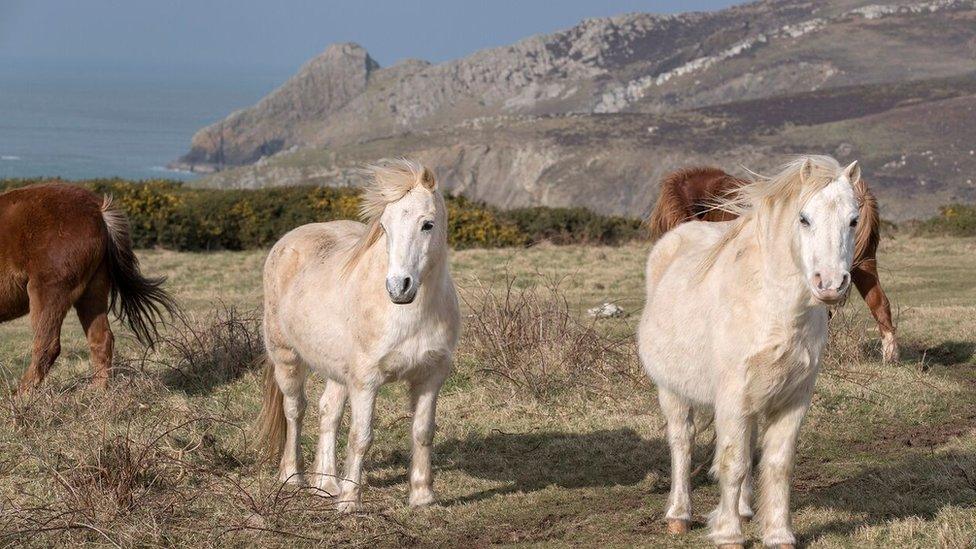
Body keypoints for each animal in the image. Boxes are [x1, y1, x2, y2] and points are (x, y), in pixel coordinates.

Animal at [0, 184, 178, 390]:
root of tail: (99, 211)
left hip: (48, 290)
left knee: (46, 345)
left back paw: (22, 395)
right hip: (93, 291)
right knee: (101, 339)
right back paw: (99, 391)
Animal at [255, 157, 462, 510]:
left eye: (427, 224)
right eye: (385, 228)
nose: (398, 287)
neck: (406, 314)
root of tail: (287, 242)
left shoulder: (431, 376)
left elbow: (422, 431)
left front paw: (422, 496)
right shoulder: (366, 381)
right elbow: (360, 436)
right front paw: (350, 500)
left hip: (338, 370)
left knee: (328, 412)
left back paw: (326, 483)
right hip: (287, 359)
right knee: (295, 411)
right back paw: (293, 477)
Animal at [640, 155, 860, 548]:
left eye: (853, 220)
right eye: (804, 218)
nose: (831, 284)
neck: (773, 310)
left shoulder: (793, 400)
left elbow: (777, 464)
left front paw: (778, 534)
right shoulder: (732, 398)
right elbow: (734, 462)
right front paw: (729, 534)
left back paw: (743, 508)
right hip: (672, 390)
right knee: (682, 442)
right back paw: (679, 515)